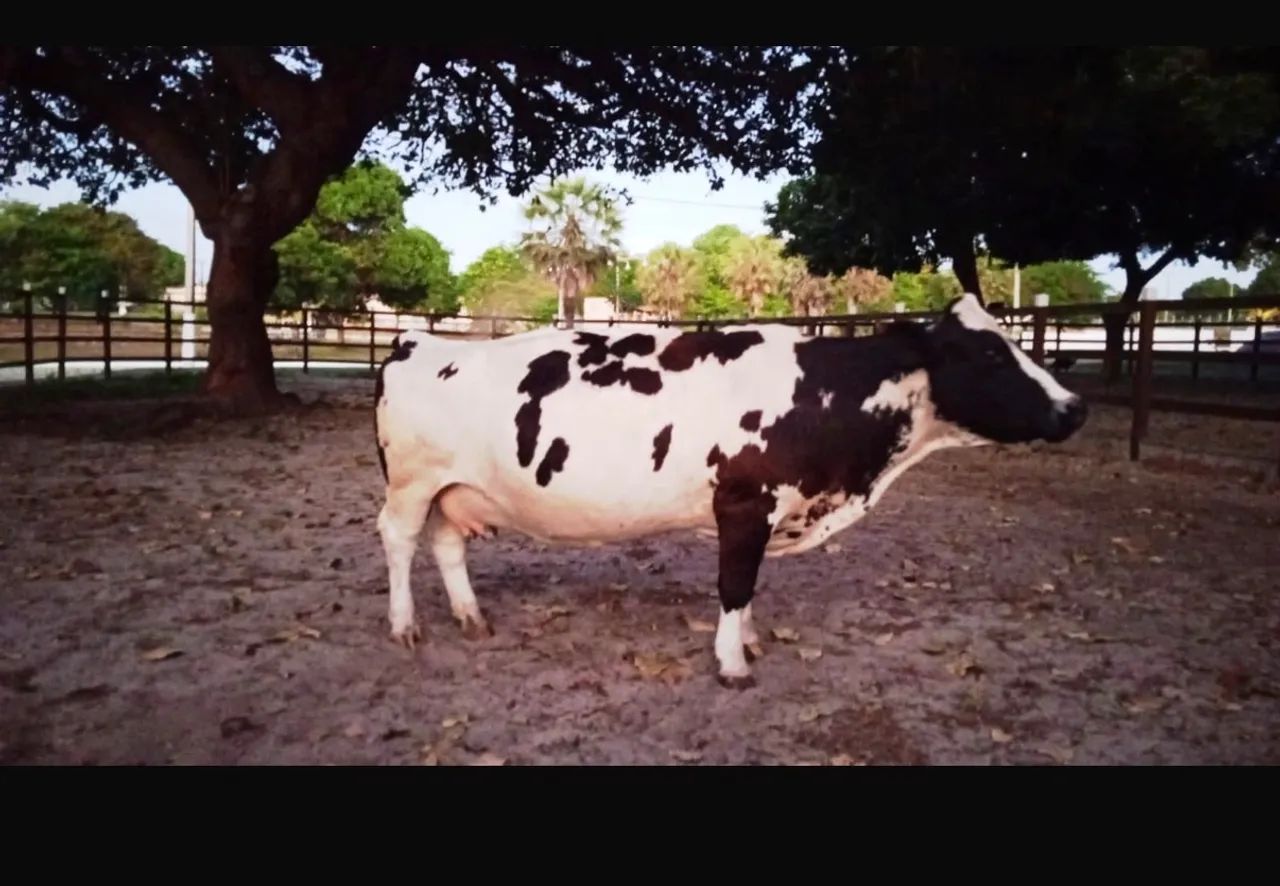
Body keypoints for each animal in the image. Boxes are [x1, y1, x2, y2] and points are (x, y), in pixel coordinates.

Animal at [373, 293, 1088, 688]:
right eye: (990, 355)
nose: (1075, 407)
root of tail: (416, 340)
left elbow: (749, 588)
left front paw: (747, 640)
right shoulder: (745, 503)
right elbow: (735, 584)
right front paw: (732, 663)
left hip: (454, 488)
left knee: (446, 545)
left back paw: (470, 616)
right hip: (412, 484)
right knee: (399, 541)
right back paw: (405, 626)